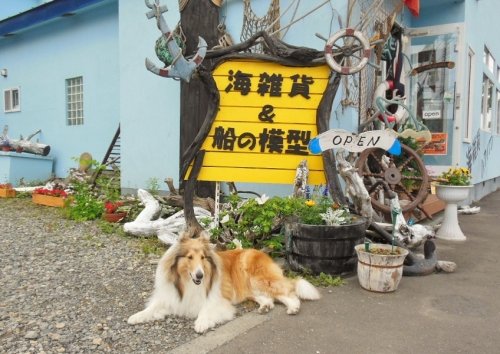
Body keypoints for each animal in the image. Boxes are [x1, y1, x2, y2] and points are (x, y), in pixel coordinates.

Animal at [127, 231, 318, 334]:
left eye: (203, 257)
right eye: (190, 257)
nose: (200, 276)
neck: (187, 282)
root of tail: (262, 253)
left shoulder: (215, 299)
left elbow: (205, 310)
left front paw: (201, 323)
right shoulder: (170, 296)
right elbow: (152, 308)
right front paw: (136, 317)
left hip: (258, 279)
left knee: (287, 291)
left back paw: (293, 307)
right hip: (249, 288)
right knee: (269, 297)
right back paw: (265, 306)